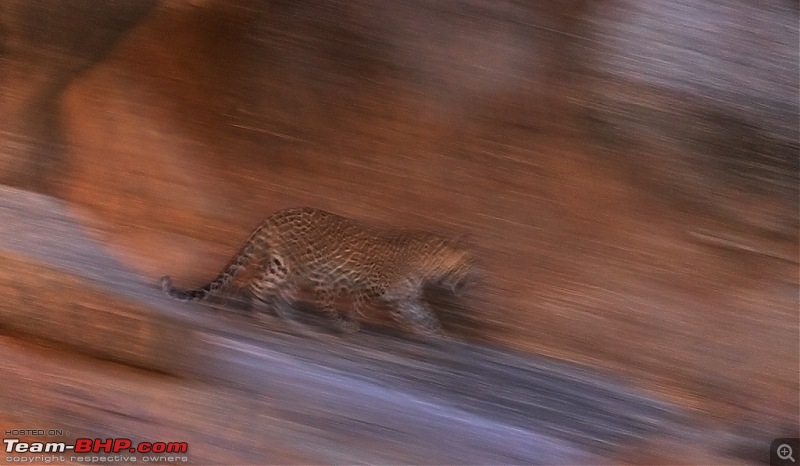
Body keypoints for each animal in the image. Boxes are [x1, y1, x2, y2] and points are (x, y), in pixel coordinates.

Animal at [159, 207, 478, 334]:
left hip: (288, 268)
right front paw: (349, 326)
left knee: (267, 290)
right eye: (467, 265)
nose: (473, 280)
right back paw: (262, 316)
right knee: (259, 286)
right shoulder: (371, 288)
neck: (428, 266)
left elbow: (426, 315)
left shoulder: (406, 297)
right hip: (296, 268)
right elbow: (356, 308)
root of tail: (276, 215)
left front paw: (441, 337)